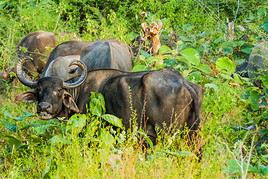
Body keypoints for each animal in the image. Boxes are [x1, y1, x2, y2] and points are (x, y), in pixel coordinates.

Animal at [16, 59, 201, 144]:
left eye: (59, 91)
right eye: (39, 90)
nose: (44, 107)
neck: (80, 91)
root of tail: (184, 83)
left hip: (168, 133)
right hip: (193, 135)